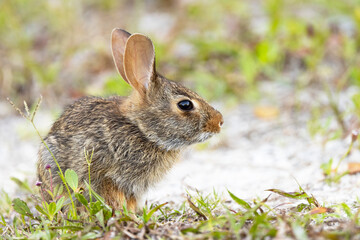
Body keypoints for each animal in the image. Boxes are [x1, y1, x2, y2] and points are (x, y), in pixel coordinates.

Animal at [36, 28, 222, 212]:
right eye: (185, 105)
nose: (220, 121)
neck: (141, 129)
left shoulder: (133, 188)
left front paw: (132, 214)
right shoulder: (104, 175)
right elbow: (113, 197)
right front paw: (125, 214)